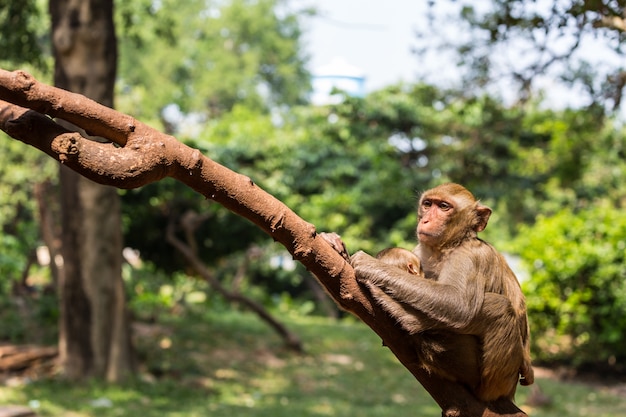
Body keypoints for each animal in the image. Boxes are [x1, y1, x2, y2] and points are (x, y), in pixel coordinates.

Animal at [322, 184, 532, 402]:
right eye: (428, 204)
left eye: (444, 206)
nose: (425, 220)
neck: (448, 246)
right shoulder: (420, 251)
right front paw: (335, 246)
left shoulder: (470, 256)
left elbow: (460, 305)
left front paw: (369, 264)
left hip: (500, 380)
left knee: (500, 308)